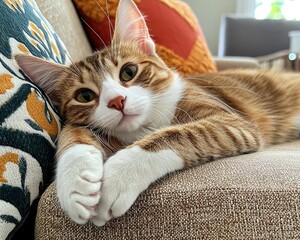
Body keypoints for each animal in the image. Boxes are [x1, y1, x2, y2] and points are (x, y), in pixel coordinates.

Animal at [15, 0, 300, 227]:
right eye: (85, 96)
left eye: (128, 72)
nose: (117, 101)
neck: (145, 126)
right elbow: (72, 129)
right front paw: (76, 179)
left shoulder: (232, 120)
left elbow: (176, 134)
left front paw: (117, 177)